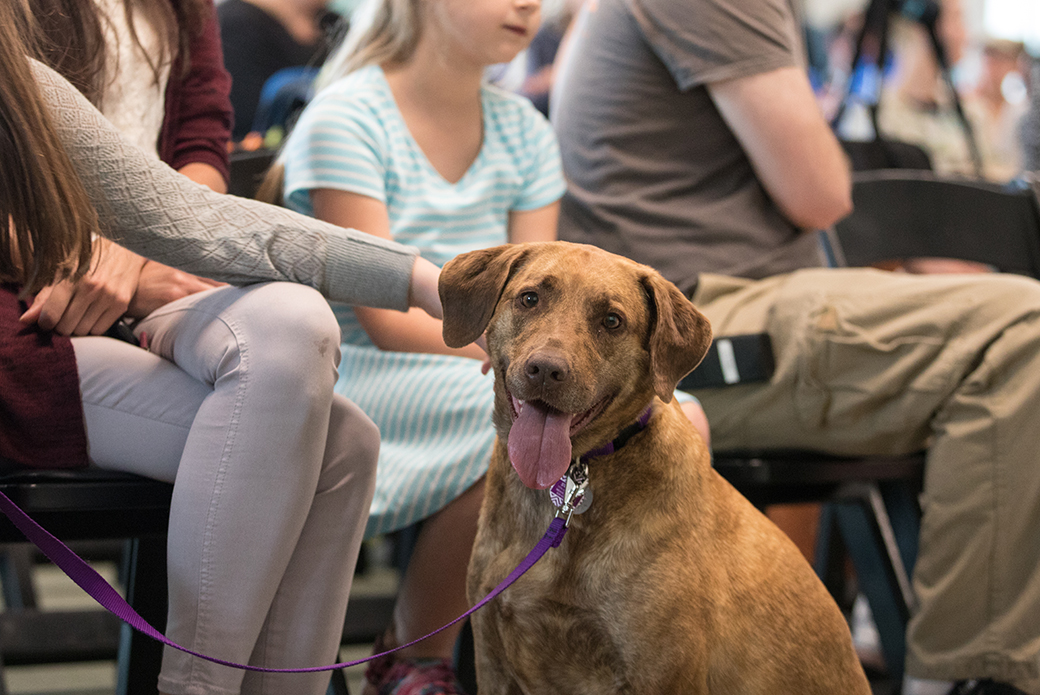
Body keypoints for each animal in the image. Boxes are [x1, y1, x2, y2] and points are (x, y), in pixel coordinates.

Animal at [438, 240, 869, 695]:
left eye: (612, 321)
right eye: (529, 298)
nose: (545, 370)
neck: (569, 486)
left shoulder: (660, 674)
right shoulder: (492, 657)